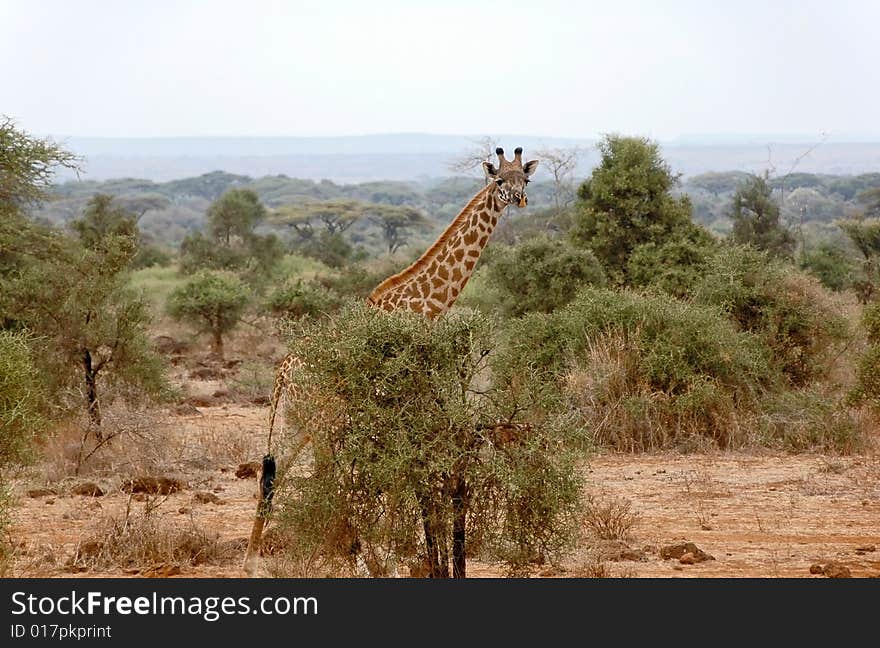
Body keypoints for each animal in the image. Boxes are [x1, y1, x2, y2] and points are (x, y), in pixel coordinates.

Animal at [244, 148, 540, 576]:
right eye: (500, 180)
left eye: (526, 180)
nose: (518, 199)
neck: (420, 307)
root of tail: (284, 373)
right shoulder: (402, 401)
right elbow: (403, 474)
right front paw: (399, 557)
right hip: (323, 422)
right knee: (324, 479)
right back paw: (357, 560)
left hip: (295, 421)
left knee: (271, 475)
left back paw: (253, 562)